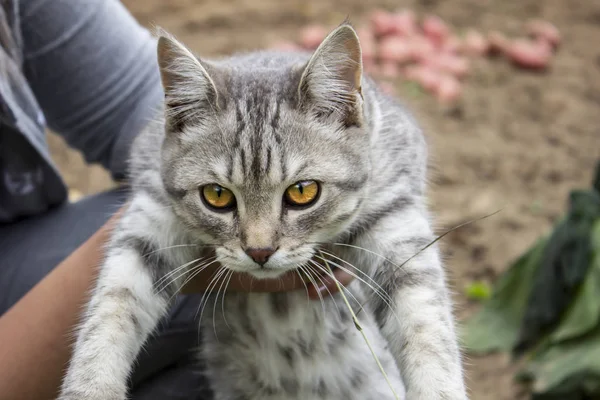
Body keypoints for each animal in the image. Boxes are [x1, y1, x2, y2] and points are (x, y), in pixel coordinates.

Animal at [57, 22, 468, 400]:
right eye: (217, 195)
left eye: (303, 192)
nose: (259, 251)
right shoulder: (150, 213)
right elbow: (111, 307)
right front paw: (90, 388)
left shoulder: (395, 210)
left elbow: (426, 323)